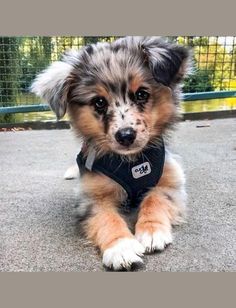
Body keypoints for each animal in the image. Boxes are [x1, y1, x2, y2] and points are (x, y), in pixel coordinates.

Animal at [31, 36, 191, 270]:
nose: (125, 136)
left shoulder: (169, 182)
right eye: (99, 102)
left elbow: (155, 200)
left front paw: (151, 231)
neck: (130, 163)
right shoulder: (92, 198)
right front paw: (121, 248)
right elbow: (107, 219)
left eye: (142, 94)